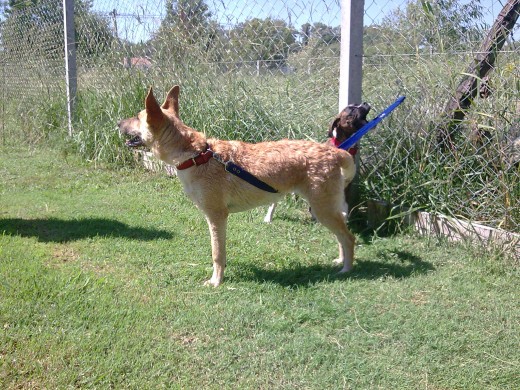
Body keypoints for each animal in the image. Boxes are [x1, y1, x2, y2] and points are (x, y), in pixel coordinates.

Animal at [118, 85, 358, 286]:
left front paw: (216, 282)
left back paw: (346, 270)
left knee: (349, 237)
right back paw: (340, 260)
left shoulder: (216, 217)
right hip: (324, 210)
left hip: (322, 209)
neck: (196, 156)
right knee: (341, 236)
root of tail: (334, 153)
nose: (118, 122)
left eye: (137, 117)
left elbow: (217, 254)